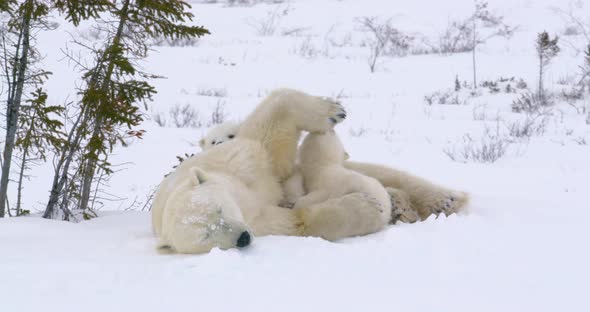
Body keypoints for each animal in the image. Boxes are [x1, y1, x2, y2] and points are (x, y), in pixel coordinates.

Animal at [154, 88, 472, 254]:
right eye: (205, 238)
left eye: (219, 209)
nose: (242, 238)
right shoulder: (261, 223)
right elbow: (299, 221)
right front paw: (368, 206)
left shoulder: (239, 163)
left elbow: (270, 140)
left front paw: (332, 109)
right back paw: (402, 205)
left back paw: (445, 200)